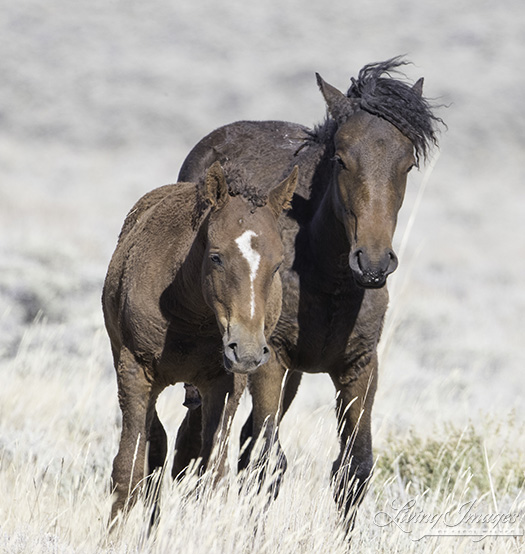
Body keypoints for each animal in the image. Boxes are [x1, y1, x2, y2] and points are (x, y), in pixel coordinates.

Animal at [102, 161, 296, 520]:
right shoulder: (135, 371)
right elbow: (128, 469)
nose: (247, 350)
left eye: (277, 263)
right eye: (216, 257)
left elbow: (213, 473)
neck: (189, 313)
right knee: (156, 444)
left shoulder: (224, 383)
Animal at [177, 58, 442, 524]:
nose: (372, 263)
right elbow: (267, 462)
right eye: (340, 158)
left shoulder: (359, 366)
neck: (327, 278)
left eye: (408, 163)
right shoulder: (270, 362)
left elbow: (354, 469)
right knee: (208, 440)